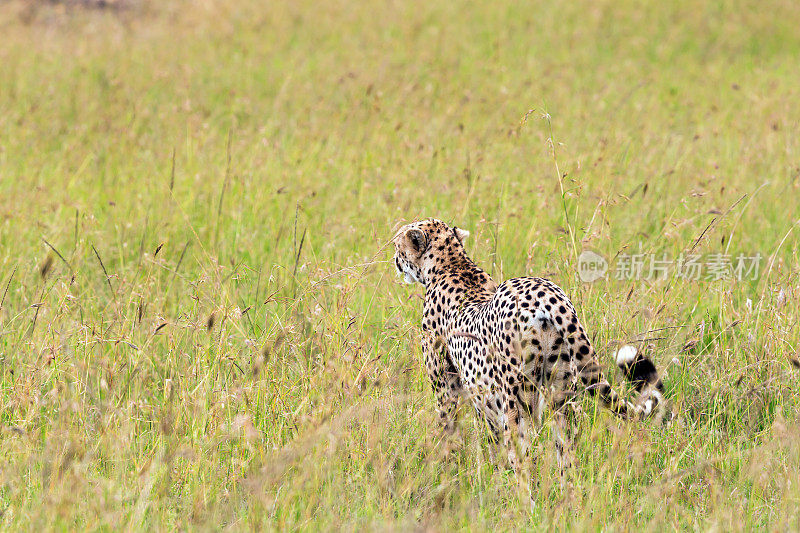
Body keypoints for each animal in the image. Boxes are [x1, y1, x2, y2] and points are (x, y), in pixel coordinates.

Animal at [394, 218, 668, 472]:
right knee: (567, 452)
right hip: (562, 393)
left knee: (521, 454)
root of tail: (547, 295)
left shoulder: (450, 387)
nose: (394, 259)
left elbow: (453, 430)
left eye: (398, 242)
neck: (451, 264)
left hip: (518, 399)